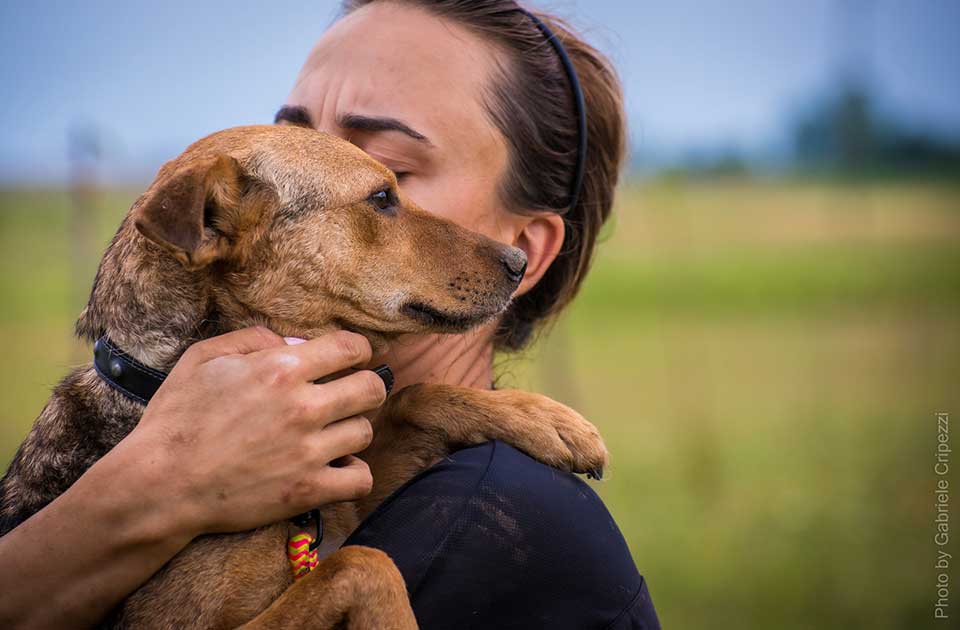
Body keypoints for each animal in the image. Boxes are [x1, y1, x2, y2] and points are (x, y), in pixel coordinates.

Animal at [0, 126, 608, 628]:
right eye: (382, 198)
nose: (519, 263)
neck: (156, 375)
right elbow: (363, 563)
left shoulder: (349, 494)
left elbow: (411, 396)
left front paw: (545, 420)